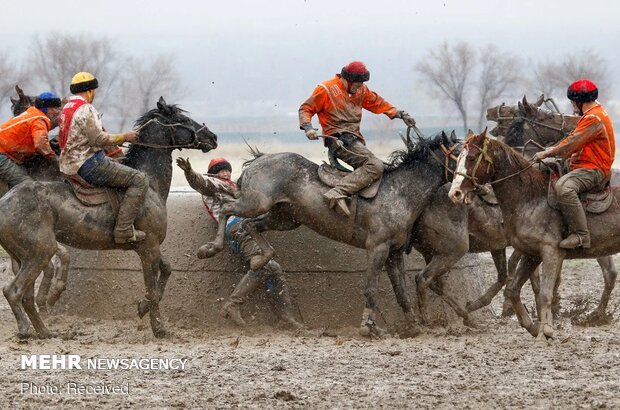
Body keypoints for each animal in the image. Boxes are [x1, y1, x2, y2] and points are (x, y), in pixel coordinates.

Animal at [0, 97, 218, 338]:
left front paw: (143, 307)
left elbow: (167, 270)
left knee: (26, 296)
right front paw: (159, 327)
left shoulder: (149, 247)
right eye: (182, 119)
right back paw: (26, 329)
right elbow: (152, 288)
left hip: (24, 256)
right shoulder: (149, 247)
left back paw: (45, 331)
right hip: (39, 253)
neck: (150, 182)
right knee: (13, 291)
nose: (213, 137)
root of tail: (5, 202)